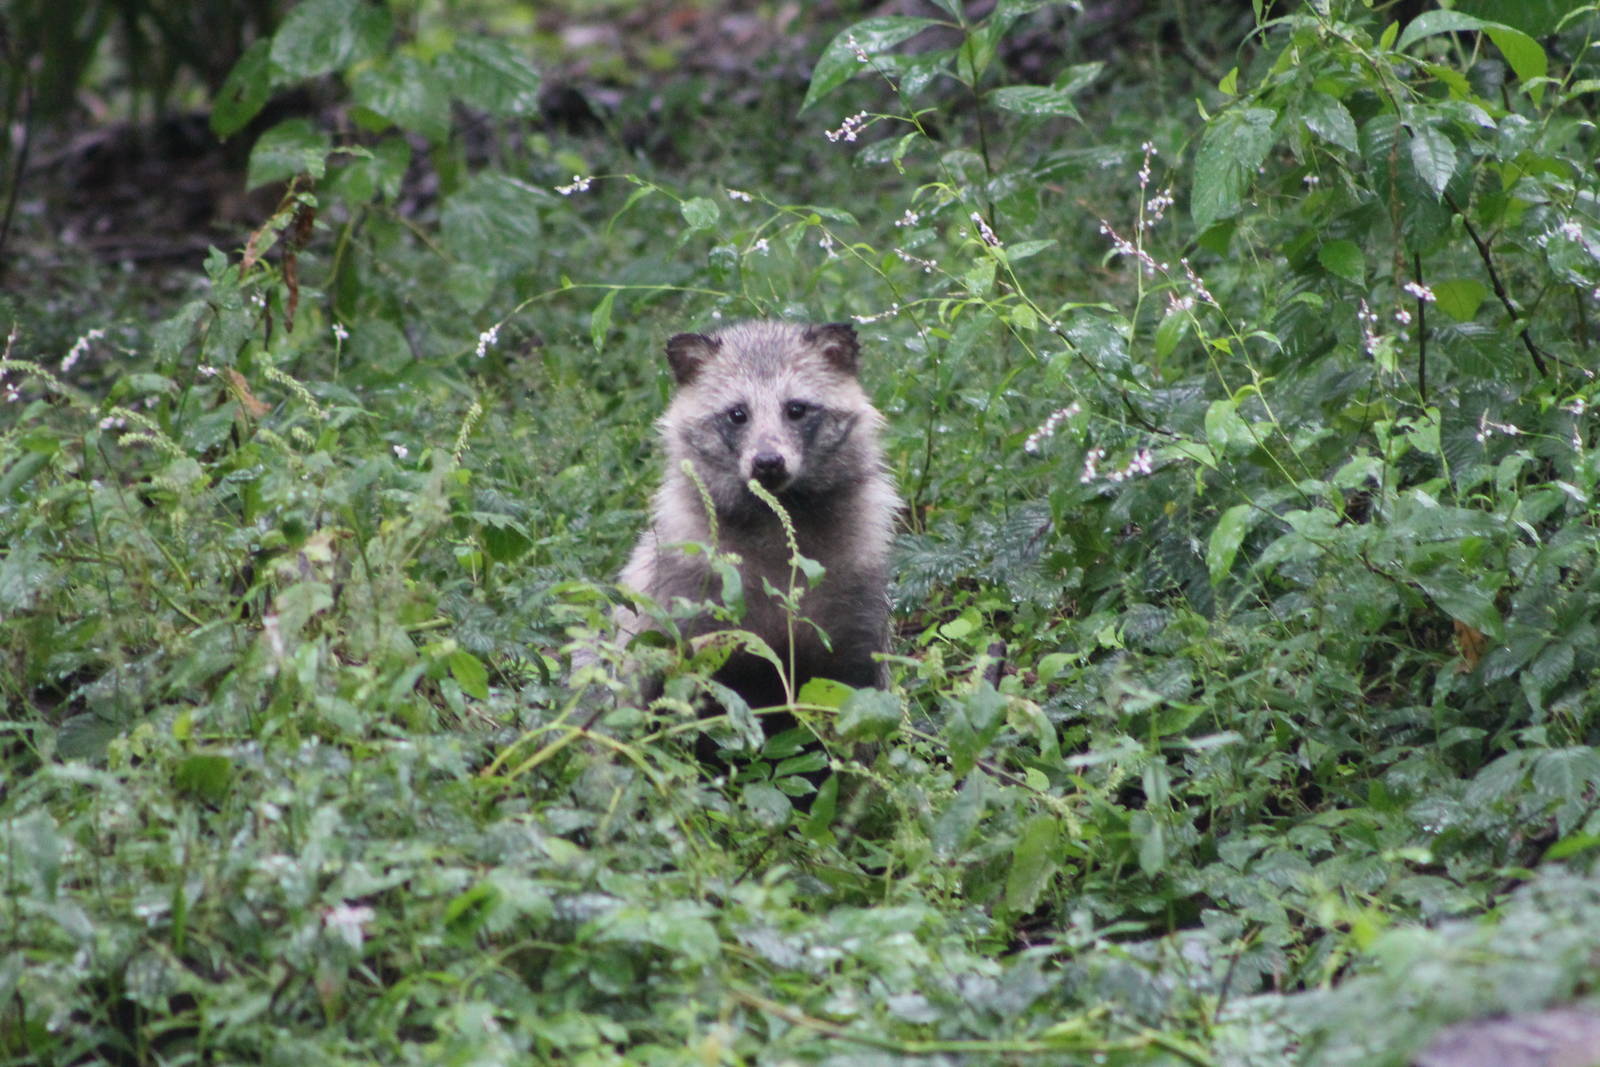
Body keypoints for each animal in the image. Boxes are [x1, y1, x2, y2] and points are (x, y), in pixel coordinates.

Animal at [616, 319, 901, 711]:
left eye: (796, 408)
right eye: (737, 414)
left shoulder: (856, 601)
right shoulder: (692, 604)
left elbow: (855, 693)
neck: (774, 517)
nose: (767, 462)